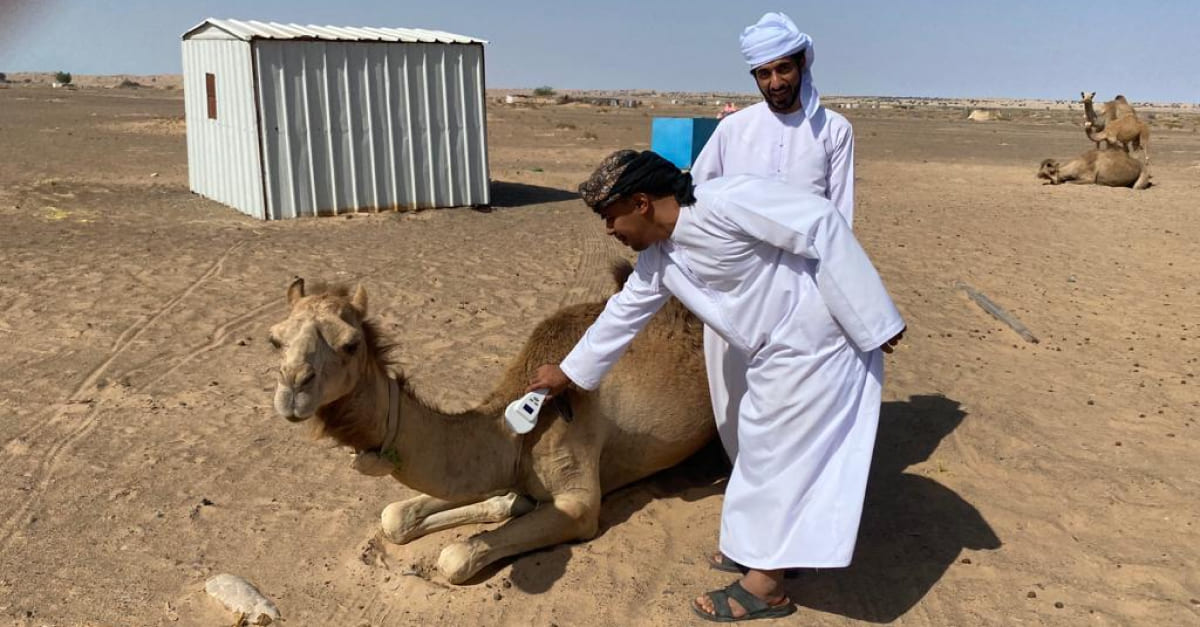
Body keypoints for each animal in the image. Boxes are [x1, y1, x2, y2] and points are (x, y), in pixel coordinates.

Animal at [267, 264, 715, 583]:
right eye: (275, 340)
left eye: (350, 344)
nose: (293, 388)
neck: (515, 428)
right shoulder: (498, 469)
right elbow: (394, 516)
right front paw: (508, 503)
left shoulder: (579, 503)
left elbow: (454, 556)